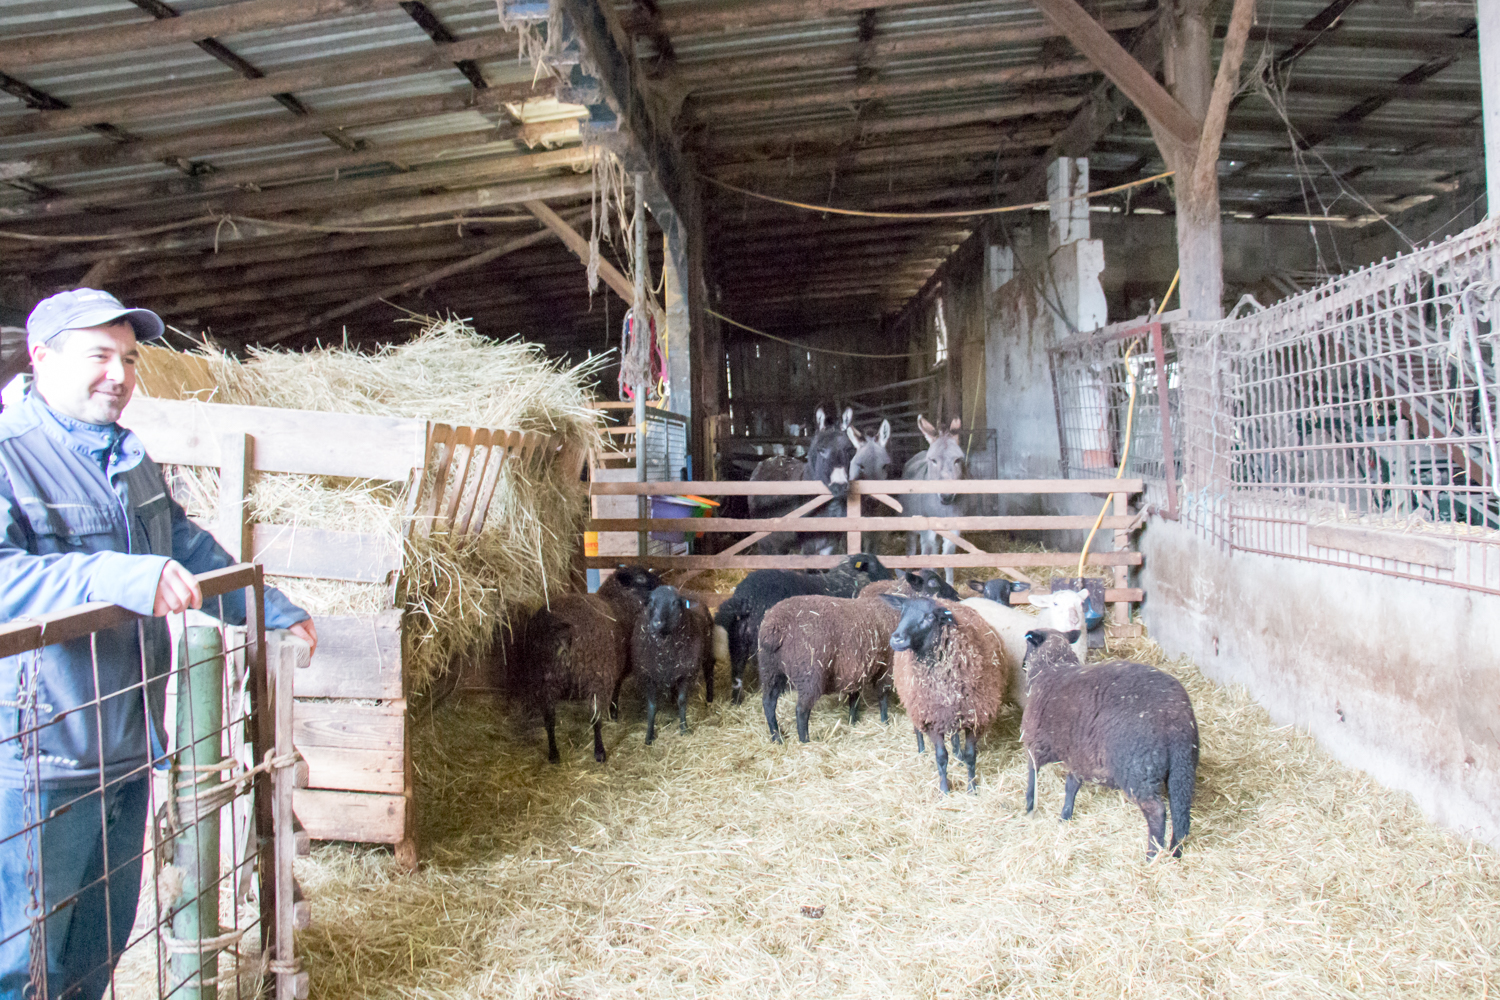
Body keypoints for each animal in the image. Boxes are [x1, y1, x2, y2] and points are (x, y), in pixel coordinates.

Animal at [522, 563, 663, 767]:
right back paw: (599, 752)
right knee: (595, 718)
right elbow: (616, 689)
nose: (663, 583)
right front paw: (614, 713)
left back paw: (554, 754)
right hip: (595, 675)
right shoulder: (615, 668)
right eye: (641, 579)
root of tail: (561, 632)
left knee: (549, 718)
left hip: (544, 677)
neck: (620, 602)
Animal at [630, 587, 717, 743]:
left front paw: (684, 729)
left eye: (675, 602)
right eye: (651, 601)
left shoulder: (684, 674)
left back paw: (709, 699)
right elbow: (652, 706)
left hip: (708, 652)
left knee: (709, 674)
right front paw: (649, 736)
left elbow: (681, 702)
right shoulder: (650, 676)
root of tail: (691, 594)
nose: (656, 623)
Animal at [756, 593, 894, 743]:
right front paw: (885, 721)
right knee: (801, 710)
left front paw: (852, 722)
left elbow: (854, 698)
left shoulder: (854, 671)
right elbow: (882, 696)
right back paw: (805, 741)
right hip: (809, 676)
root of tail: (774, 626)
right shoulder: (886, 667)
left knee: (768, 703)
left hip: (770, 670)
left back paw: (777, 737)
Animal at [876, 593, 1008, 797]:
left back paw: (957, 754)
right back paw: (922, 750)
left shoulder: (975, 717)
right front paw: (944, 790)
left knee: (954, 735)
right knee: (917, 729)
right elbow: (941, 757)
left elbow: (971, 756)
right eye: (902, 611)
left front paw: (972, 788)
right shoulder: (931, 719)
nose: (897, 639)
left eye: (930, 617)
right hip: (914, 703)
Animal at [1014, 632, 1200, 863]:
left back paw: (1151, 856)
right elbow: (1071, 785)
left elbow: (1032, 776)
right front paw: (1065, 816)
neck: (1051, 669)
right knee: (1181, 810)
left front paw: (1029, 806)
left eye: (1028, 646)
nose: (1022, 665)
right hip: (1184, 768)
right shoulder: (1080, 754)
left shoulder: (1034, 743)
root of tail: (1176, 722)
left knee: (1157, 812)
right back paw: (1176, 852)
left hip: (1137, 771)